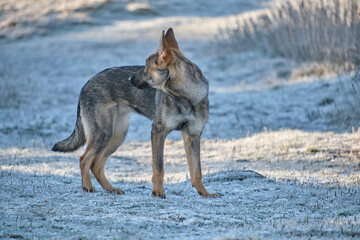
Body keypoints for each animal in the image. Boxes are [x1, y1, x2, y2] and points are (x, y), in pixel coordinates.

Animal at [52, 28, 218, 198]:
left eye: (146, 67)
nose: (129, 78)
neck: (186, 97)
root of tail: (86, 84)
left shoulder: (192, 135)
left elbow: (197, 171)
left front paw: (204, 193)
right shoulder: (158, 132)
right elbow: (158, 168)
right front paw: (158, 193)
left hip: (116, 136)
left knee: (96, 165)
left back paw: (111, 188)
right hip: (103, 134)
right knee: (84, 159)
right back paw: (87, 187)